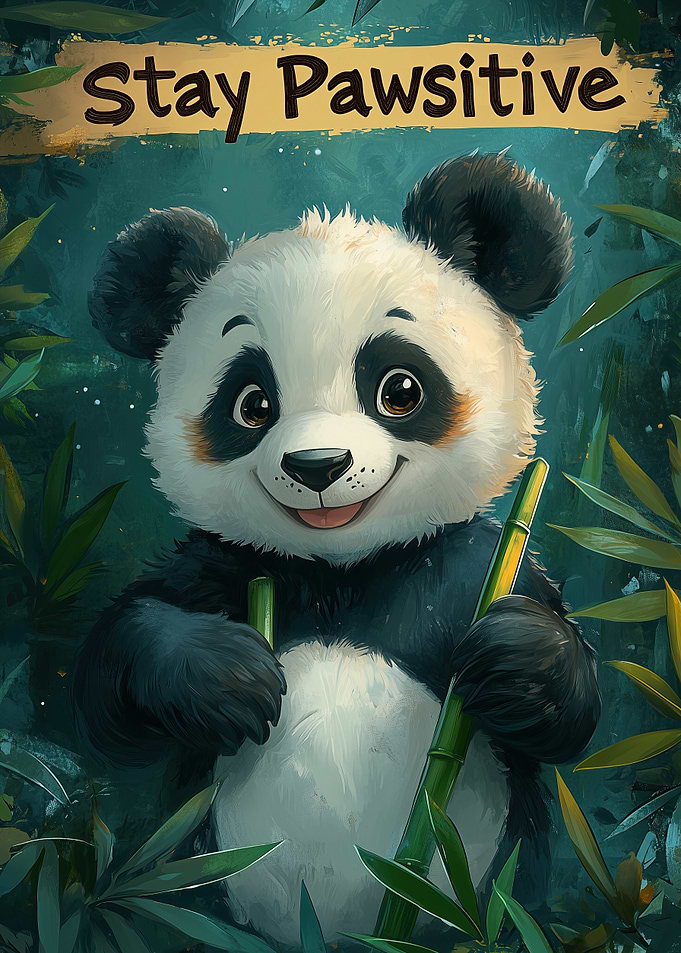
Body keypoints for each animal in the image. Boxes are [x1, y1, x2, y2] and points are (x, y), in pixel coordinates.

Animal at [73, 151, 600, 948]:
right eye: (250, 403)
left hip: (495, 905)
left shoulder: (469, 565)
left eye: (399, 388)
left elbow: (570, 713)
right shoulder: (224, 565)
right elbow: (110, 679)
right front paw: (225, 678)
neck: (342, 574)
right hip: (191, 891)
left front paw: (515, 657)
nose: (317, 466)